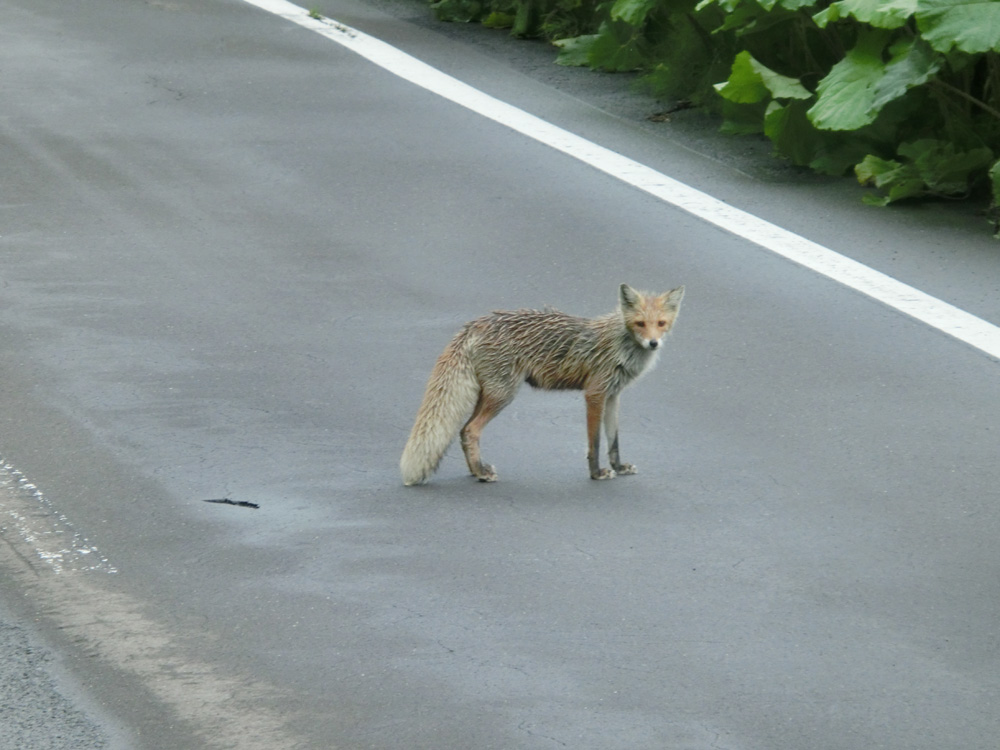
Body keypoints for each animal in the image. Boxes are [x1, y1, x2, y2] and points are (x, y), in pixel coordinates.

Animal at [402, 284, 684, 488]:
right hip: (503, 394)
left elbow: (613, 441)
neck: (620, 346)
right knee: (471, 430)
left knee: (462, 431)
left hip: (489, 393)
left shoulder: (613, 395)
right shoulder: (594, 393)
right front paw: (596, 474)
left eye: (661, 324)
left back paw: (477, 470)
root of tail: (478, 322)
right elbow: (594, 443)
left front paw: (619, 467)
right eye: (640, 324)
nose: (653, 344)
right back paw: (481, 473)